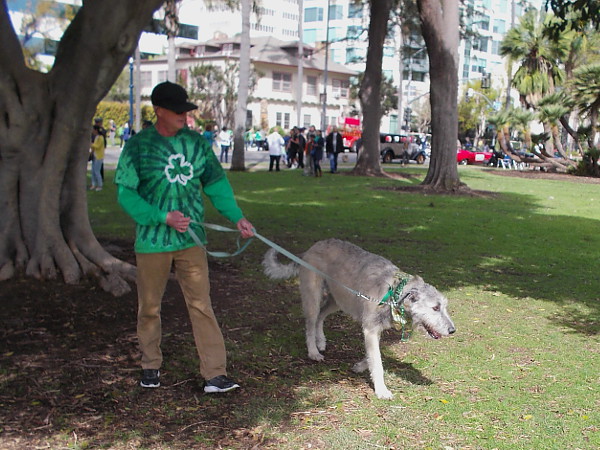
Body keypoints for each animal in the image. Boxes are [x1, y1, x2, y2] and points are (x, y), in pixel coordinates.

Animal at [262, 239, 455, 399]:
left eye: (444, 306)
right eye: (435, 308)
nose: (453, 330)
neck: (394, 291)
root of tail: (312, 248)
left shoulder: (375, 329)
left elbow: (373, 355)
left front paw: (362, 366)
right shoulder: (370, 328)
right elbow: (377, 361)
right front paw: (381, 390)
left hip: (338, 299)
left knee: (321, 316)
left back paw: (321, 341)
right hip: (313, 297)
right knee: (310, 322)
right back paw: (313, 351)